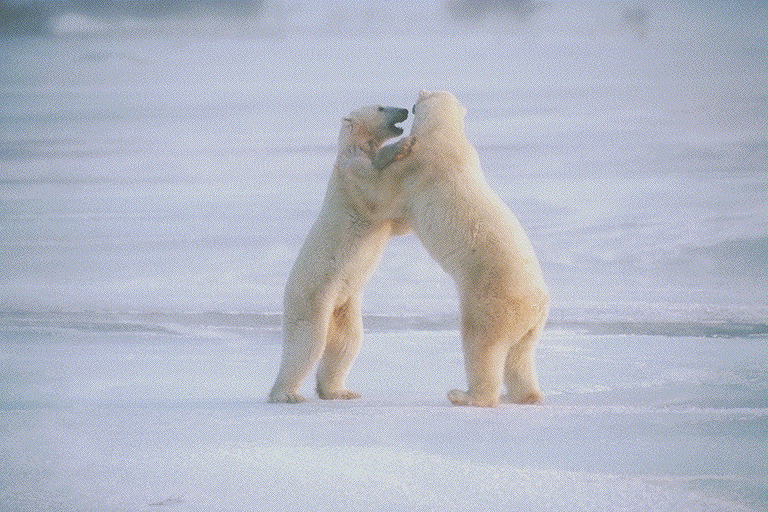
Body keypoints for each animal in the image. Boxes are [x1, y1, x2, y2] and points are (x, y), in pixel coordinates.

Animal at [270, 105, 414, 404]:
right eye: (381, 107)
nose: (405, 110)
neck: (354, 145)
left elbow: (397, 224)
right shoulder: (351, 172)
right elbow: (375, 189)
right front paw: (401, 147)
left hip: (344, 303)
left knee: (347, 342)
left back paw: (339, 391)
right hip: (312, 297)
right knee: (307, 343)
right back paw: (287, 394)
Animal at [356, 90, 548, 406]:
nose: (407, 107)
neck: (445, 133)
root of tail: (535, 306)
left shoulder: (420, 163)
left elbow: (383, 196)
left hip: (489, 301)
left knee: (481, 345)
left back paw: (464, 394)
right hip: (530, 328)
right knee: (520, 357)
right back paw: (525, 395)